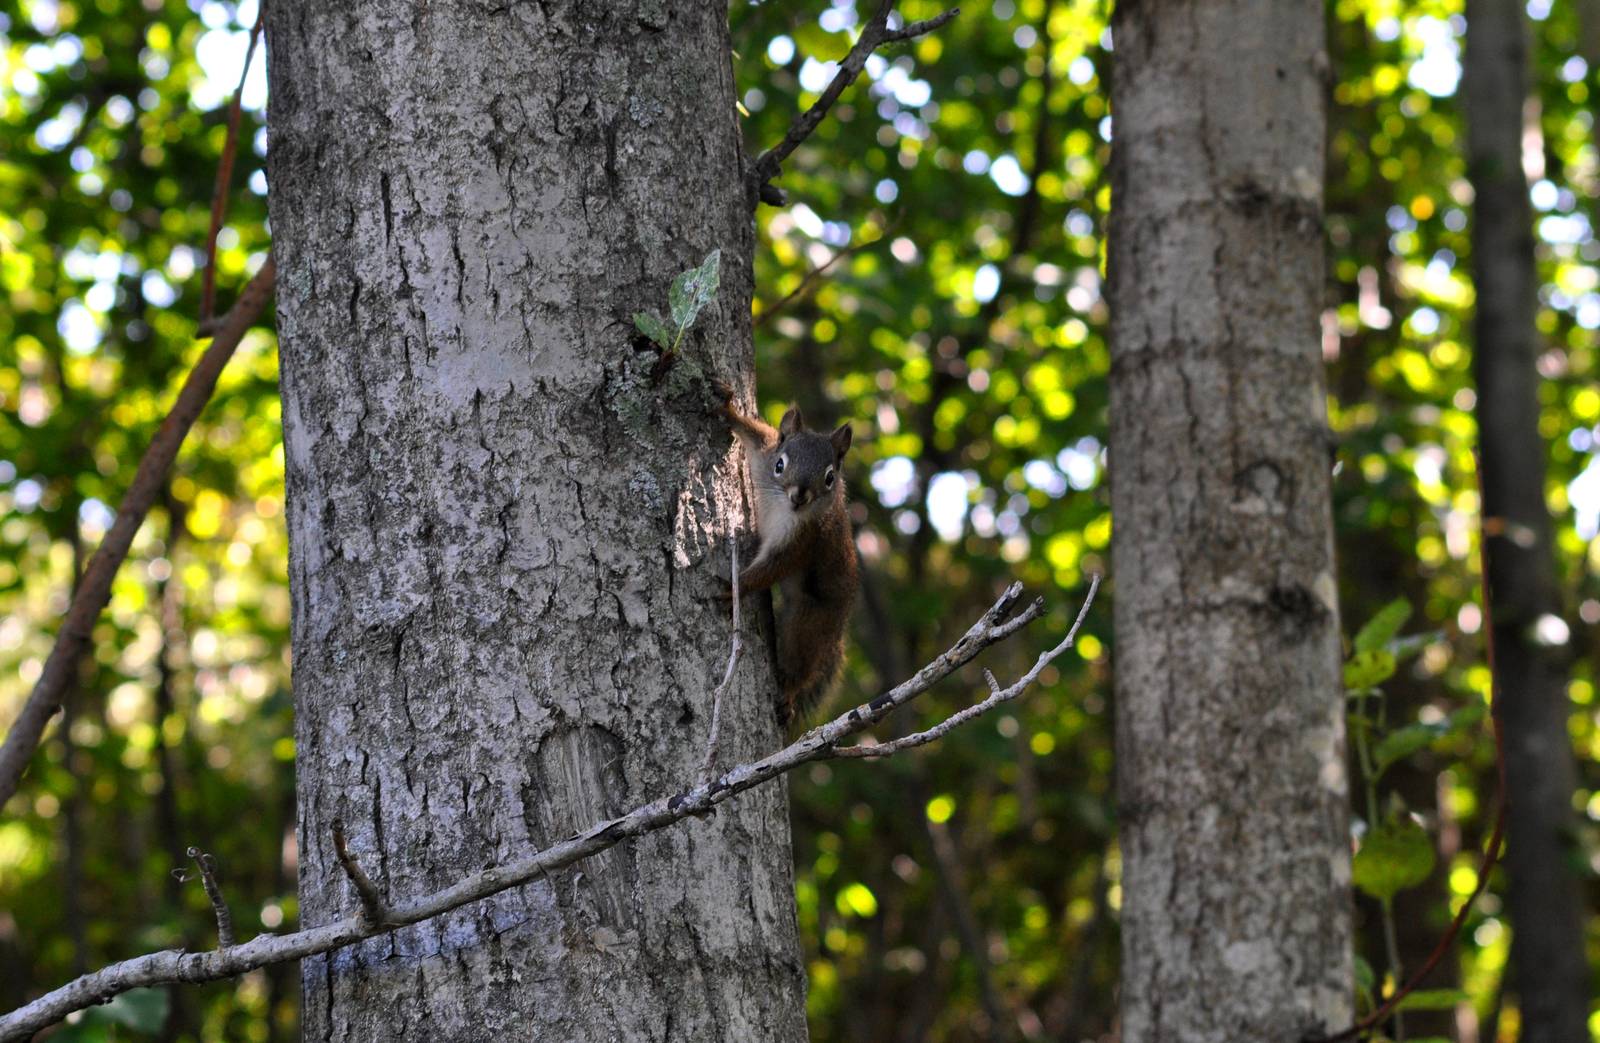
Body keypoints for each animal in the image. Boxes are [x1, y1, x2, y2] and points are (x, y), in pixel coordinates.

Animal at [713, 381, 858, 725]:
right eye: (780, 465)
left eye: (830, 477)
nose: (799, 497)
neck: (781, 505)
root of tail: (840, 625)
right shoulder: (764, 452)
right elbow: (755, 432)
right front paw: (728, 410)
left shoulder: (803, 539)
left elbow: (773, 568)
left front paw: (735, 590)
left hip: (808, 623)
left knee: (802, 663)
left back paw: (790, 692)